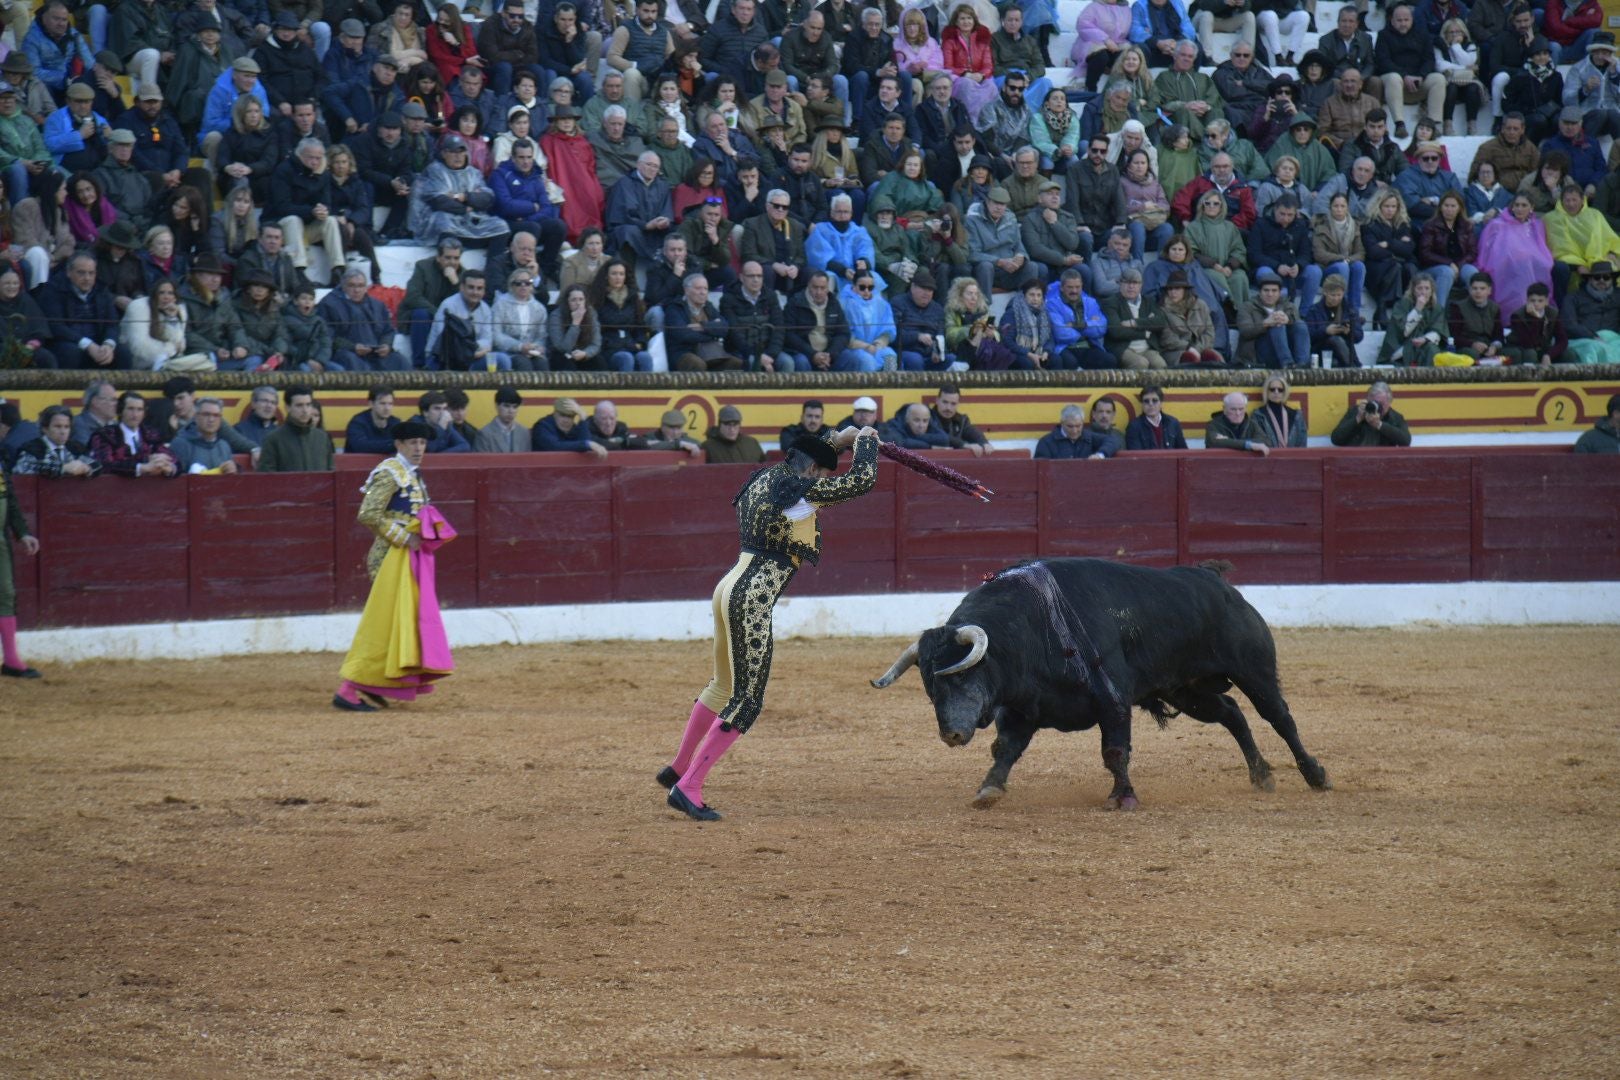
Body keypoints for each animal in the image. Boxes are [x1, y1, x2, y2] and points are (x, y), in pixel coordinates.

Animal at [874, 563, 1328, 806]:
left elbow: (1114, 751)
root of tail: (1217, 582)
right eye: (931, 689)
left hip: (1254, 670)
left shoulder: (1113, 700)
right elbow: (1004, 749)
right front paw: (989, 789)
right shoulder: (1021, 710)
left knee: (1279, 718)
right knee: (1233, 715)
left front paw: (1122, 797)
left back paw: (1316, 775)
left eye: (962, 674)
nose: (951, 734)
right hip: (1185, 689)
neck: (1030, 630)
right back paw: (1261, 776)